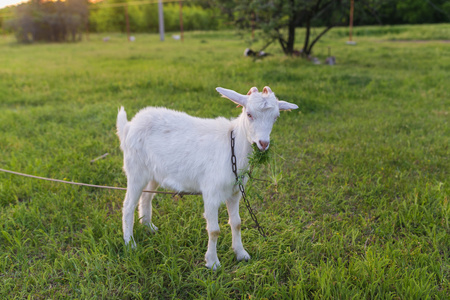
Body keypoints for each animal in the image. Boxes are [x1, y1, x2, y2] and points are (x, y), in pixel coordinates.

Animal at [118, 85, 298, 270]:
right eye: (249, 114)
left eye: (276, 117)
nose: (263, 143)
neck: (232, 148)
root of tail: (129, 126)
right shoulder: (211, 192)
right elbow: (214, 230)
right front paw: (212, 262)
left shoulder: (235, 192)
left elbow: (237, 223)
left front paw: (241, 254)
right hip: (136, 170)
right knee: (128, 205)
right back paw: (130, 243)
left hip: (154, 173)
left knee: (146, 197)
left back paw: (149, 227)